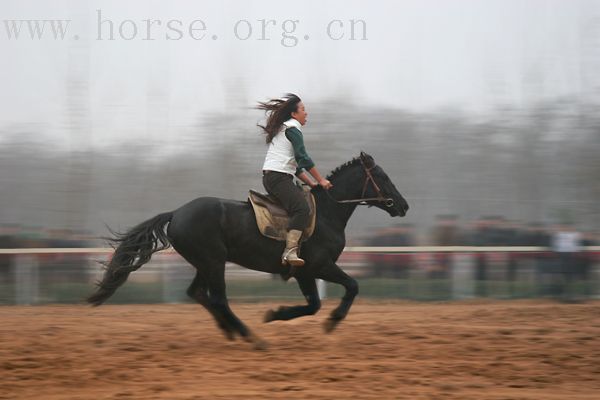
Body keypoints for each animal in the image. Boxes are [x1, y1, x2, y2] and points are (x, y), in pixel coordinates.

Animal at [88, 152, 408, 348]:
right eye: (383, 176)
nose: (403, 205)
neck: (328, 212)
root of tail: (177, 212)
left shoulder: (305, 271)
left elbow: (314, 304)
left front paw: (276, 314)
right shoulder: (318, 266)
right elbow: (349, 287)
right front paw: (331, 320)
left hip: (206, 263)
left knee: (199, 293)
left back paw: (230, 330)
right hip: (213, 262)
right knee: (218, 298)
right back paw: (251, 337)